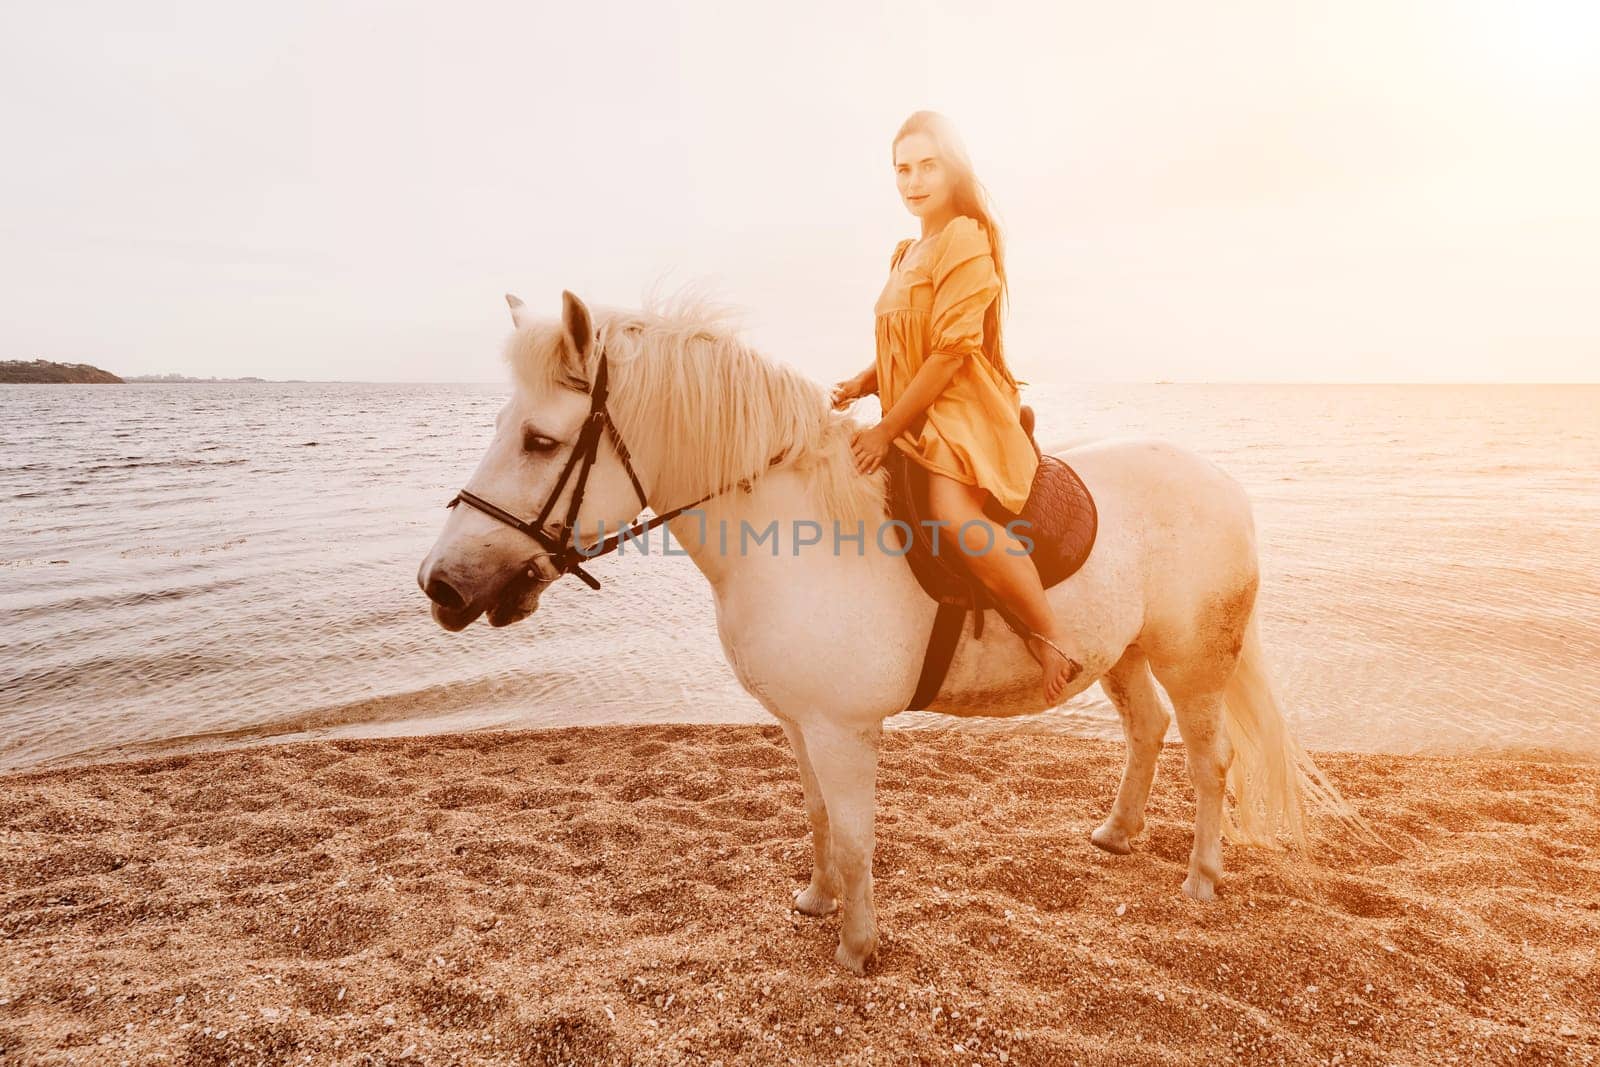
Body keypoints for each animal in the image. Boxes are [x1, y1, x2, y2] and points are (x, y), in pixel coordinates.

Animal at [419, 289, 1356, 979]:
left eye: (541, 440)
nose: (440, 585)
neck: (790, 532)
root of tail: (1222, 483)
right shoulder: (800, 722)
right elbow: (818, 818)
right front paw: (816, 902)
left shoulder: (844, 729)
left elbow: (857, 831)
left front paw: (857, 949)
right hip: (1117, 654)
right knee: (1146, 731)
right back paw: (1117, 833)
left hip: (1193, 660)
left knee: (1210, 760)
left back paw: (1201, 878)